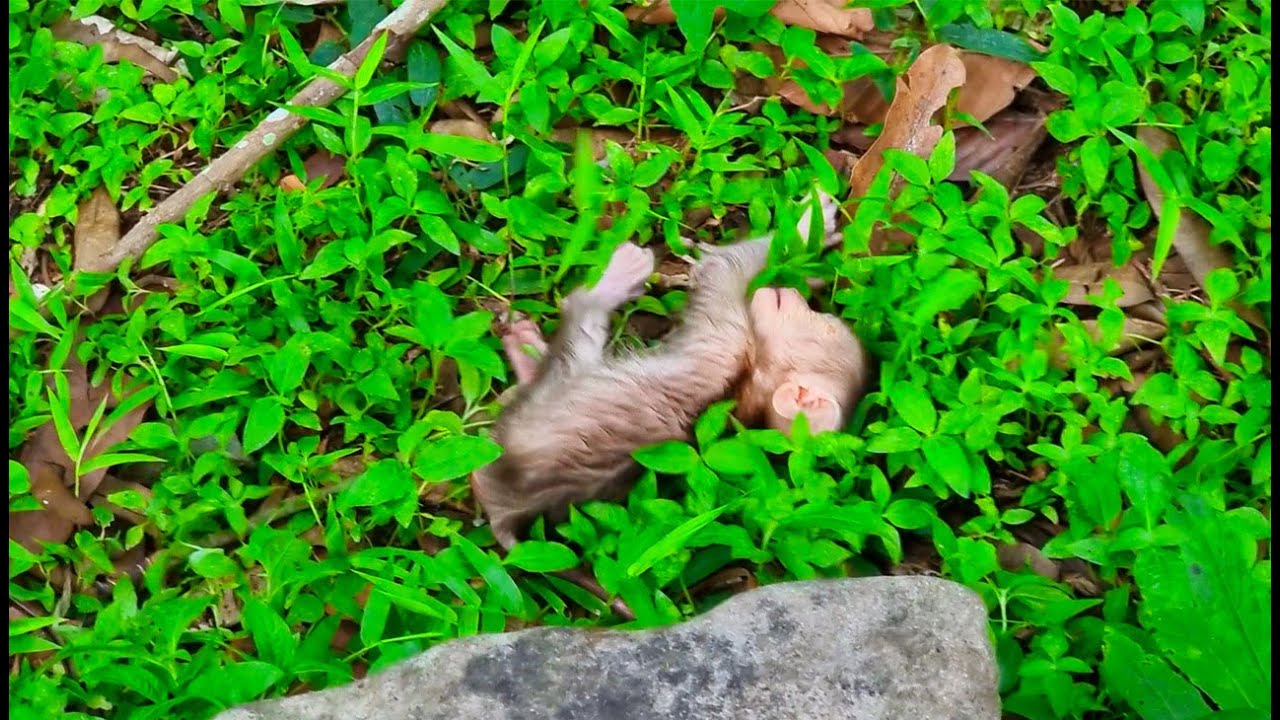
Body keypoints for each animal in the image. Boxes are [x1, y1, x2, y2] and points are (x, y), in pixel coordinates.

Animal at [470, 190, 868, 612]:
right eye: (820, 312)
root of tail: (504, 511)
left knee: (577, 324)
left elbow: (724, 265)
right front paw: (816, 241)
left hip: (554, 394)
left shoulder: (728, 327)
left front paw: (807, 225)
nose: (793, 293)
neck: (749, 391)